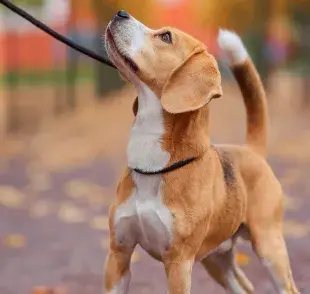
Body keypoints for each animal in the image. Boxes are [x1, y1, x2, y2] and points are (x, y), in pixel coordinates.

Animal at [104, 9, 300, 294]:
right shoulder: (118, 253)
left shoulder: (178, 264)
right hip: (217, 260)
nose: (120, 13)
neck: (156, 166)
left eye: (165, 37)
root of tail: (251, 151)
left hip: (269, 248)